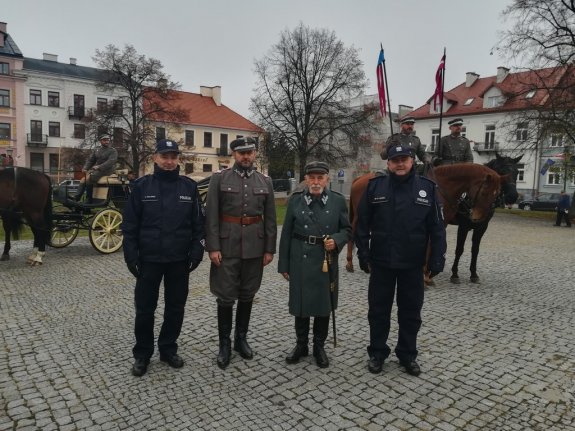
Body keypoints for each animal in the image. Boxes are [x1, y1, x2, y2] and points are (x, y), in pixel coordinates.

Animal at [346, 162, 504, 280]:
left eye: (495, 194)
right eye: (484, 192)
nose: (478, 217)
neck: (443, 187)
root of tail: (359, 179)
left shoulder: (448, 223)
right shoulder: (459, 225)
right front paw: (427, 274)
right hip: (361, 217)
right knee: (353, 234)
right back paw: (351, 263)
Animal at [450, 153, 528, 284]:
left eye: (518, 172)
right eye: (502, 171)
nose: (513, 196)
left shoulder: (481, 227)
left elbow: (475, 250)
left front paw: (473, 274)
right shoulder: (463, 226)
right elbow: (459, 249)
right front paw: (455, 274)